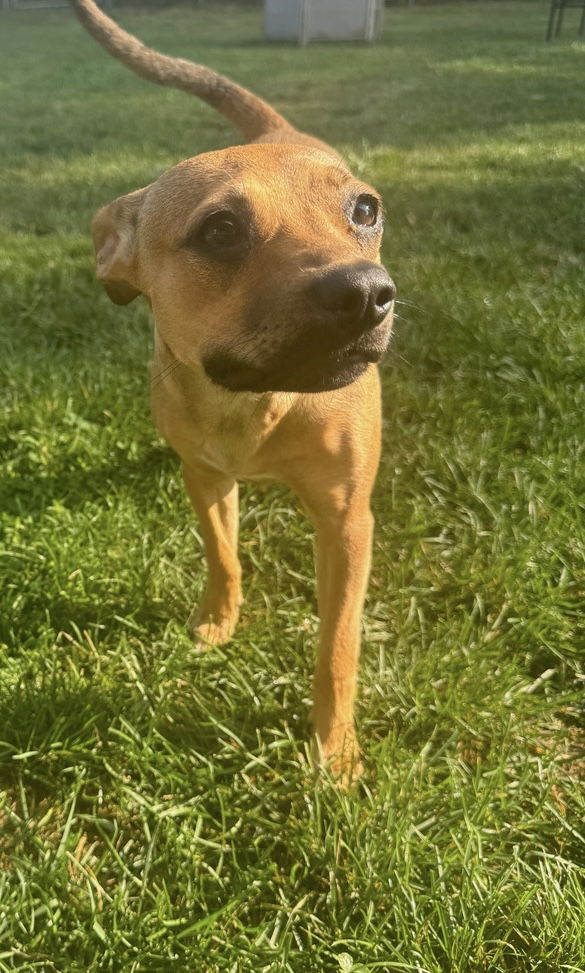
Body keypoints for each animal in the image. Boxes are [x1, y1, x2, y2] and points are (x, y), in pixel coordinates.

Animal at [70, 0, 394, 780]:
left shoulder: (347, 523)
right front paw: (217, 620)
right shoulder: (206, 475)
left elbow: (337, 647)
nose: (368, 294)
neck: (258, 404)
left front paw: (335, 750)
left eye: (364, 211)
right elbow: (222, 553)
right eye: (220, 230)